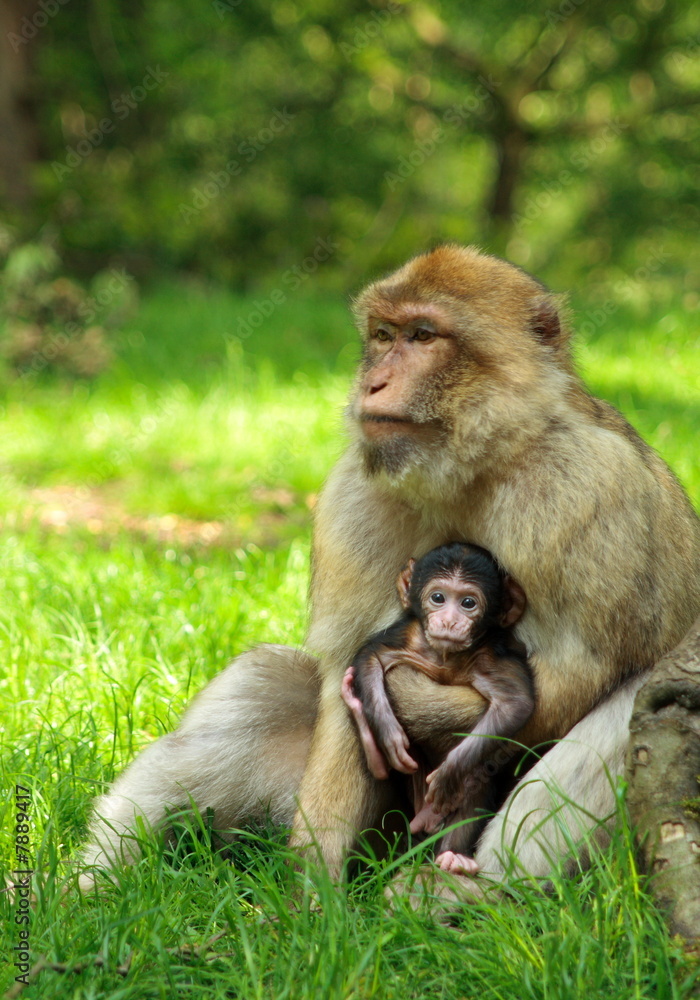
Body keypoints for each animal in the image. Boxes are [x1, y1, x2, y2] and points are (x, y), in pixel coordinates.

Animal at [340, 542, 533, 876]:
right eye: (438, 598)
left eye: (468, 602)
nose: (449, 621)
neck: (444, 655)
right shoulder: (408, 635)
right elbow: (371, 658)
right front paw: (389, 736)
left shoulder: (490, 657)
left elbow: (515, 703)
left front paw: (449, 773)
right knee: (383, 770)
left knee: (472, 790)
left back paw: (453, 856)